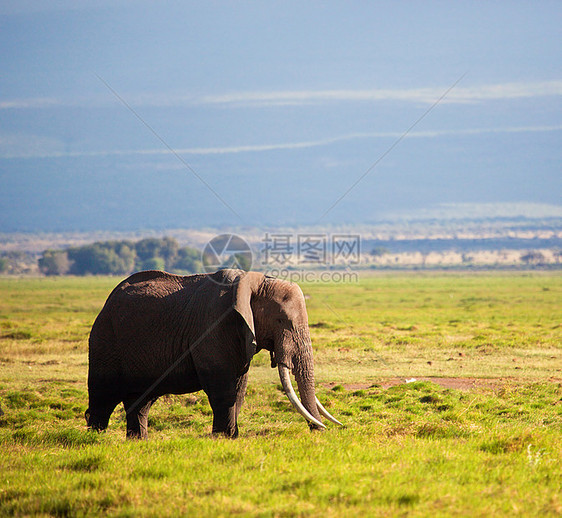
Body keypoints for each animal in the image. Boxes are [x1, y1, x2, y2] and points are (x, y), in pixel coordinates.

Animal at [82, 270, 336, 440]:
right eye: (282, 321)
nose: (318, 432)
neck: (254, 282)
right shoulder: (213, 325)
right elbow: (222, 385)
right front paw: (223, 437)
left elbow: (239, 387)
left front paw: (231, 437)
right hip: (105, 339)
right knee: (103, 396)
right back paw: (95, 439)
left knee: (140, 401)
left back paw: (139, 441)